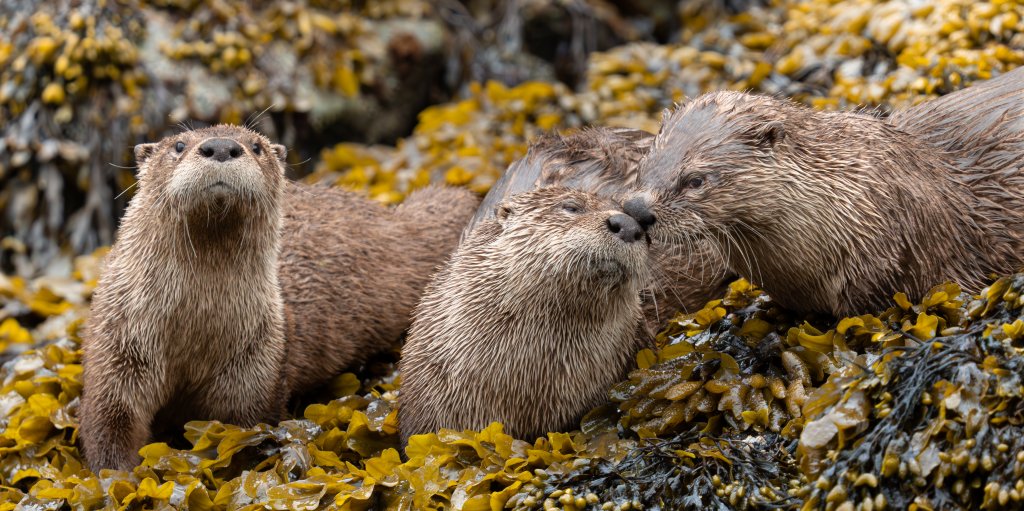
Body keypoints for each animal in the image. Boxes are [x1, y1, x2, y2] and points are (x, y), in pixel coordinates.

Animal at [80, 124, 479, 471]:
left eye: (256, 145)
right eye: (178, 145)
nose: (222, 146)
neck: (191, 332)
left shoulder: (258, 363)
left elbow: (243, 428)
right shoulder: (117, 349)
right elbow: (108, 424)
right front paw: (119, 475)